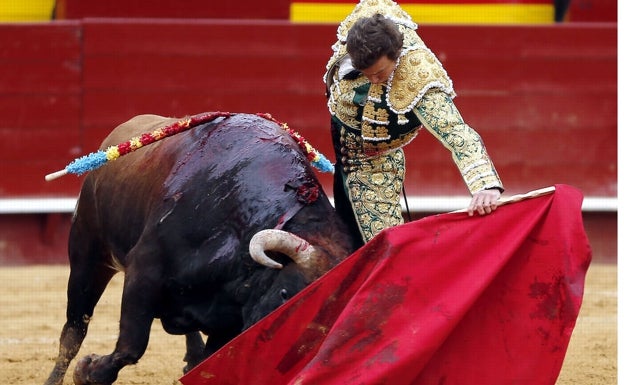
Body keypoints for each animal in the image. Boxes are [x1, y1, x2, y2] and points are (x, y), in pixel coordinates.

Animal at [42, 112, 356, 384]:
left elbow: (209, 361)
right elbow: (131, 345)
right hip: (88, 254)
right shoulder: (144, 271)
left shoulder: (229, 319)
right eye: (284, 294)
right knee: (74, 330)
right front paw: (87, 371)